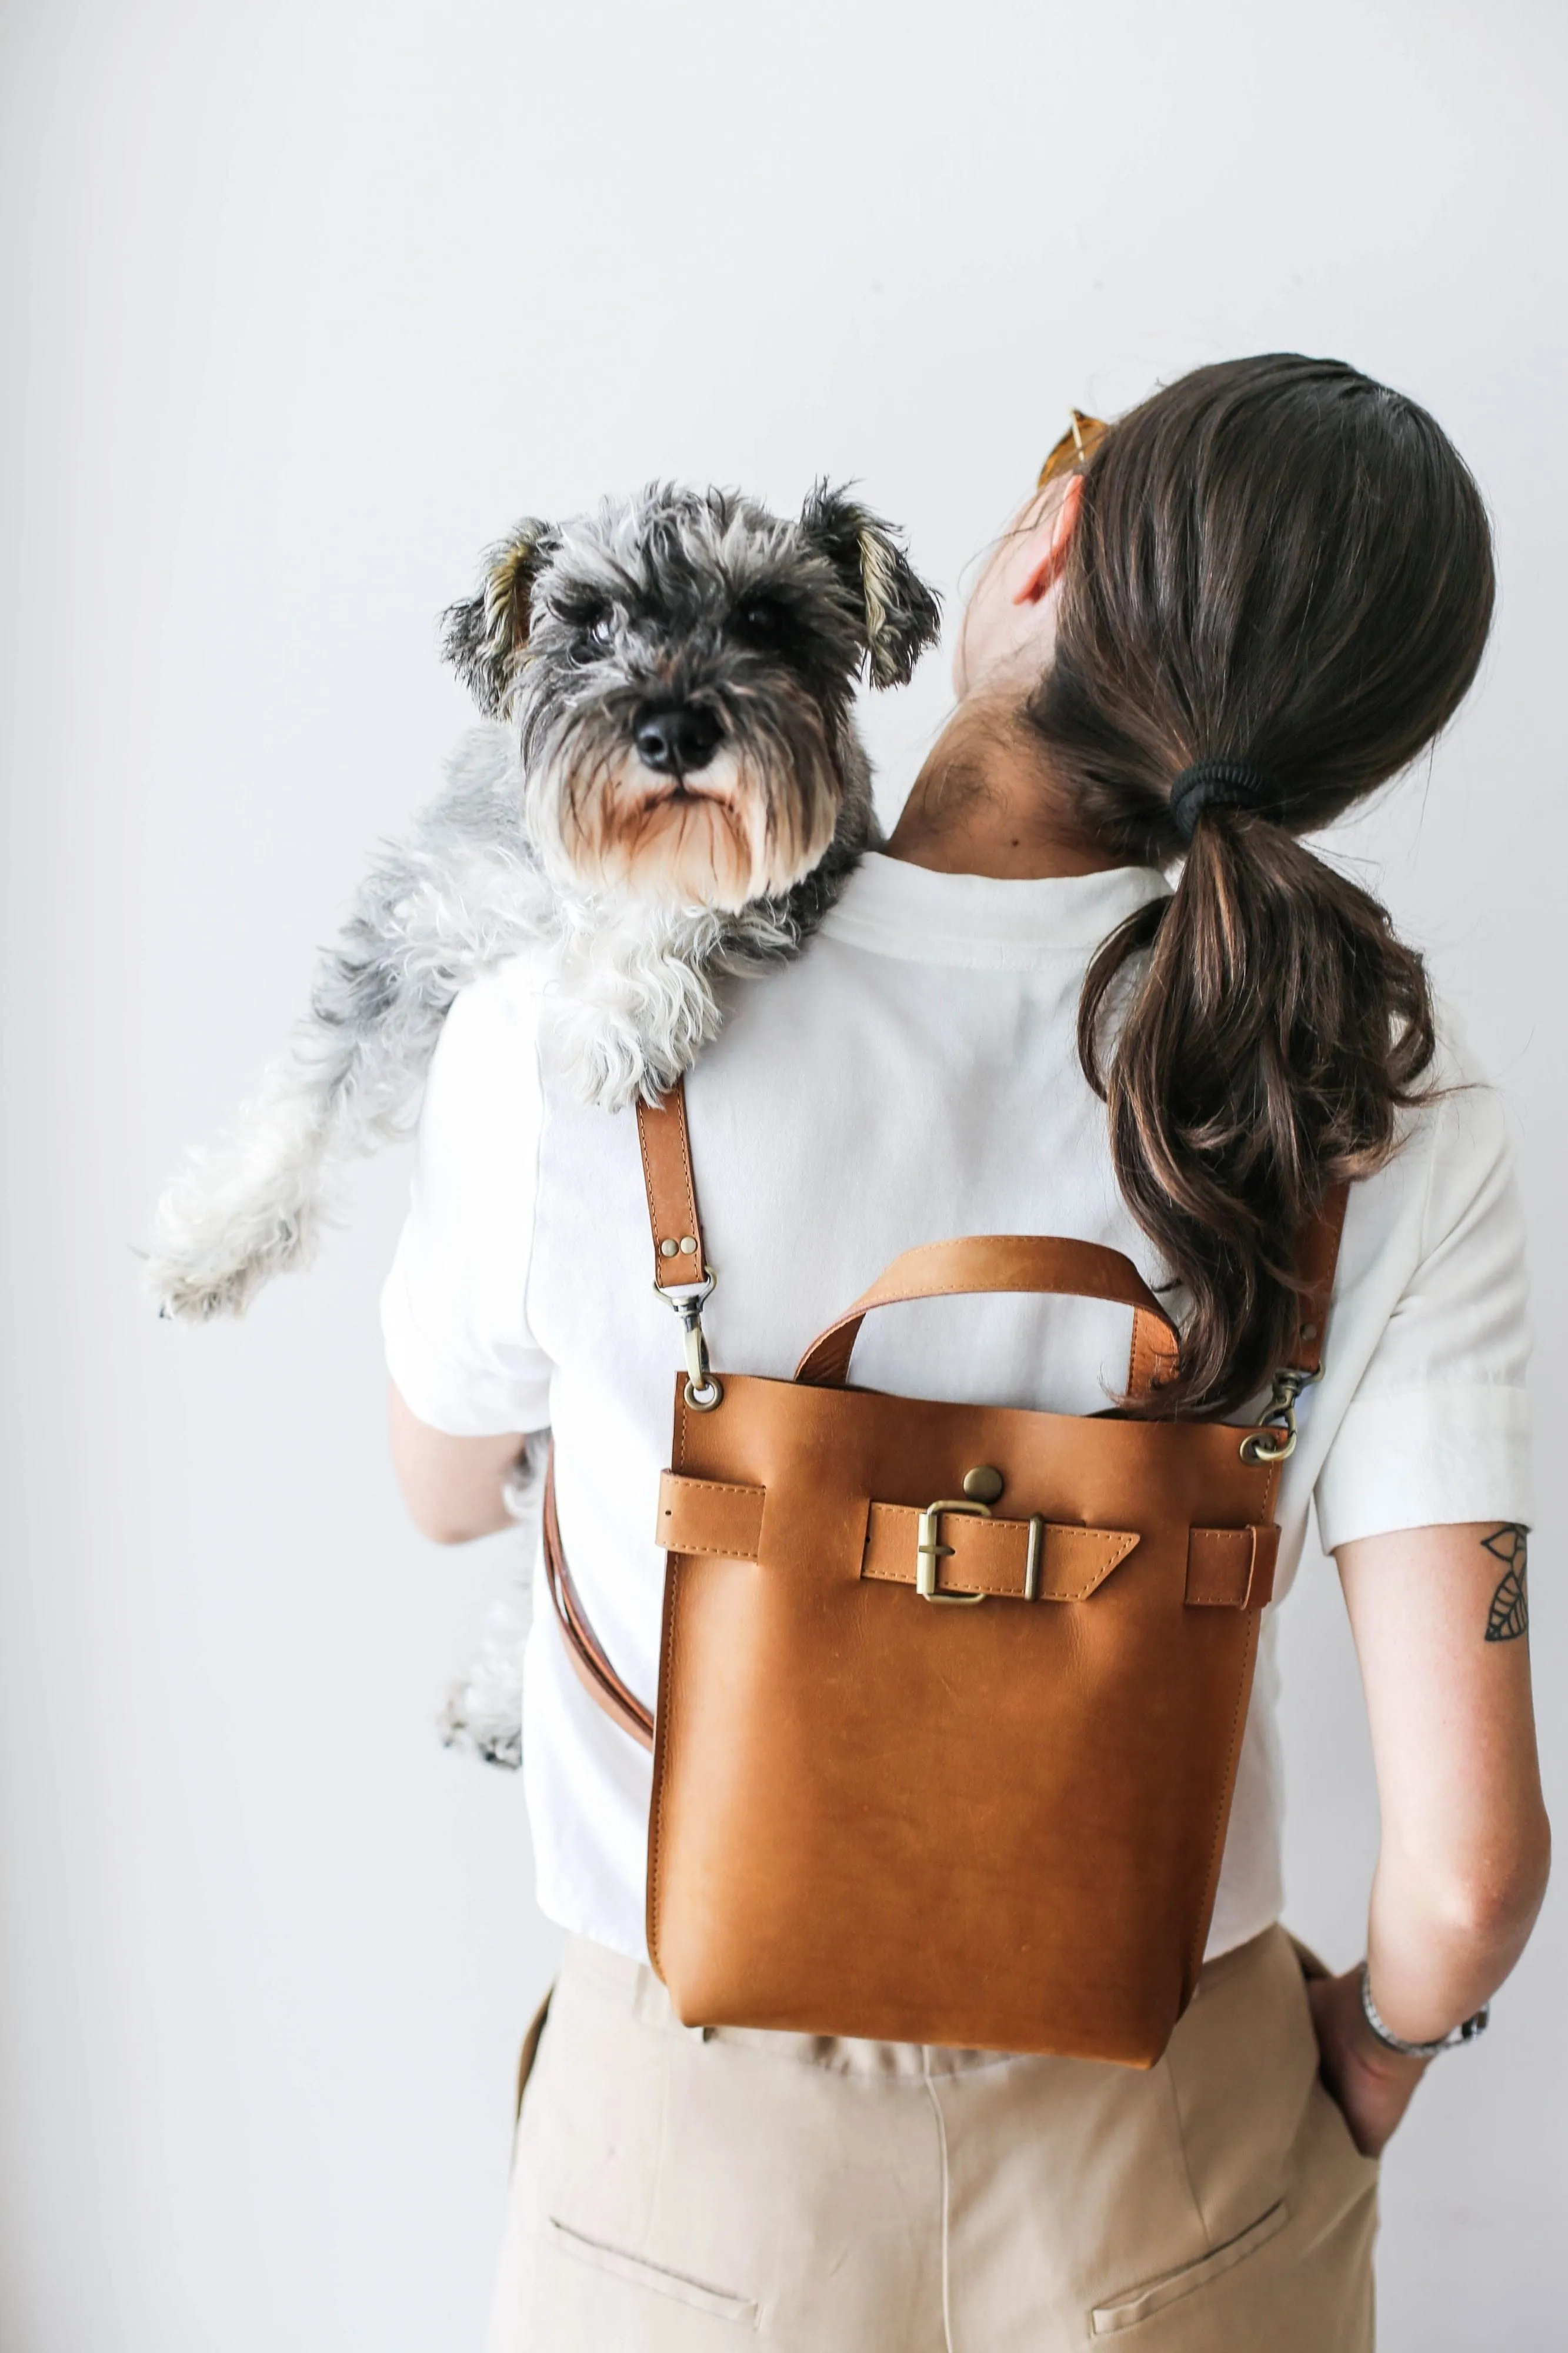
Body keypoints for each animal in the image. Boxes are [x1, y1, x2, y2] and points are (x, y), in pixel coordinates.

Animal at [153, 482, 942, 1751]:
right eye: (587, 621)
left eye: (767, 619)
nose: (672, 734)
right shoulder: (418, 930)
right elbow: (309, 1090)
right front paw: (210, 1241)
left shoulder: (802, 869)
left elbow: (689, 908)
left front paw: (618, 1008)